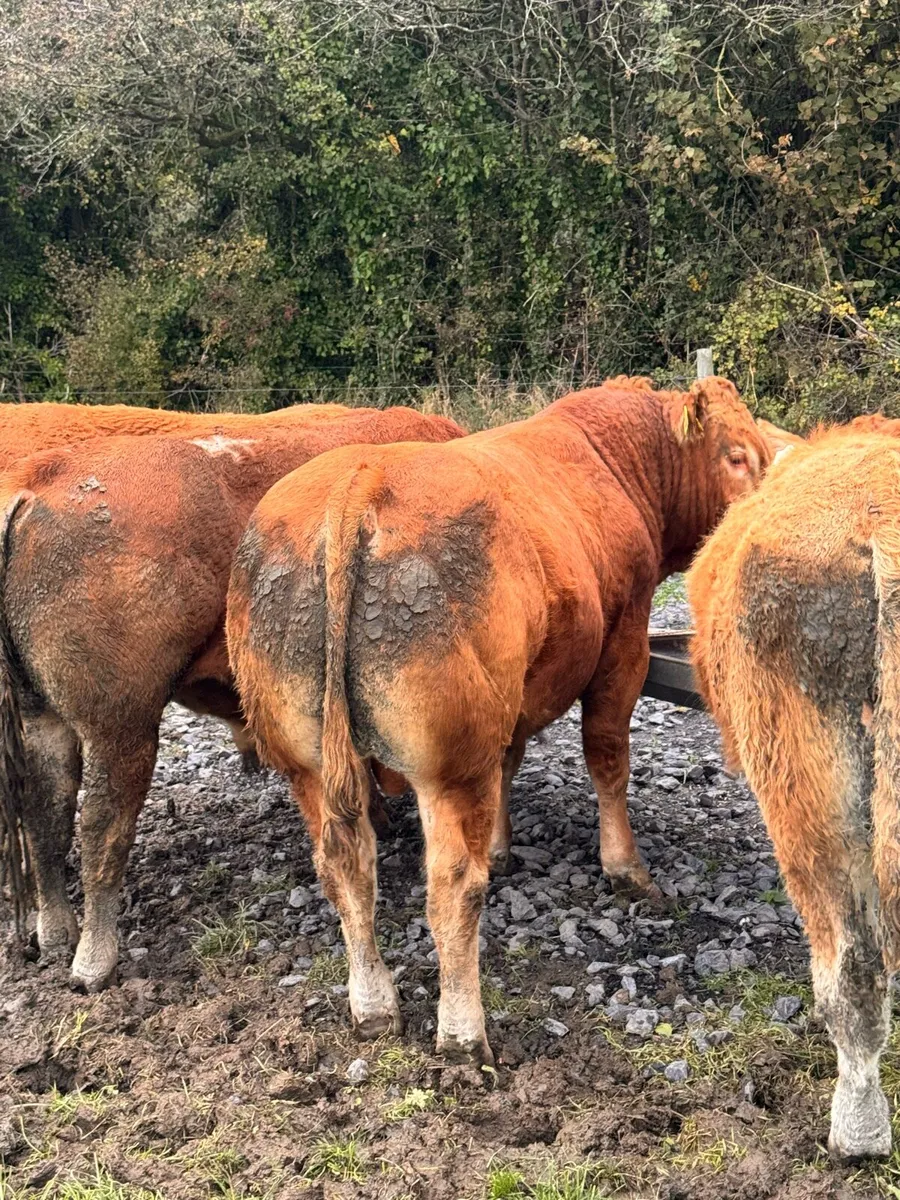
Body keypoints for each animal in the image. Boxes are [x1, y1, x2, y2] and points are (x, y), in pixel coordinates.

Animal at [0, 406, 464, 992]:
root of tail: (32, 488)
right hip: (119, 722)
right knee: (102, 822)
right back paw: (92, 965)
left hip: (41, 714)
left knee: (46, 811)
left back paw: (55, 936)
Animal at [226, 376, 769, 1064]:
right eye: (737, 456)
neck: (613, 463)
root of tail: (359, 480)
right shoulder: (624, 643)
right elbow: (607, 758)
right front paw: (626, 867)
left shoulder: (515, 691)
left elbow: (512, 759)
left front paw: (505, 844)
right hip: (449, 762)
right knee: (452, 889)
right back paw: (463, 1033)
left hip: (308, 759)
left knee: (343, 868)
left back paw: (373, 1006)